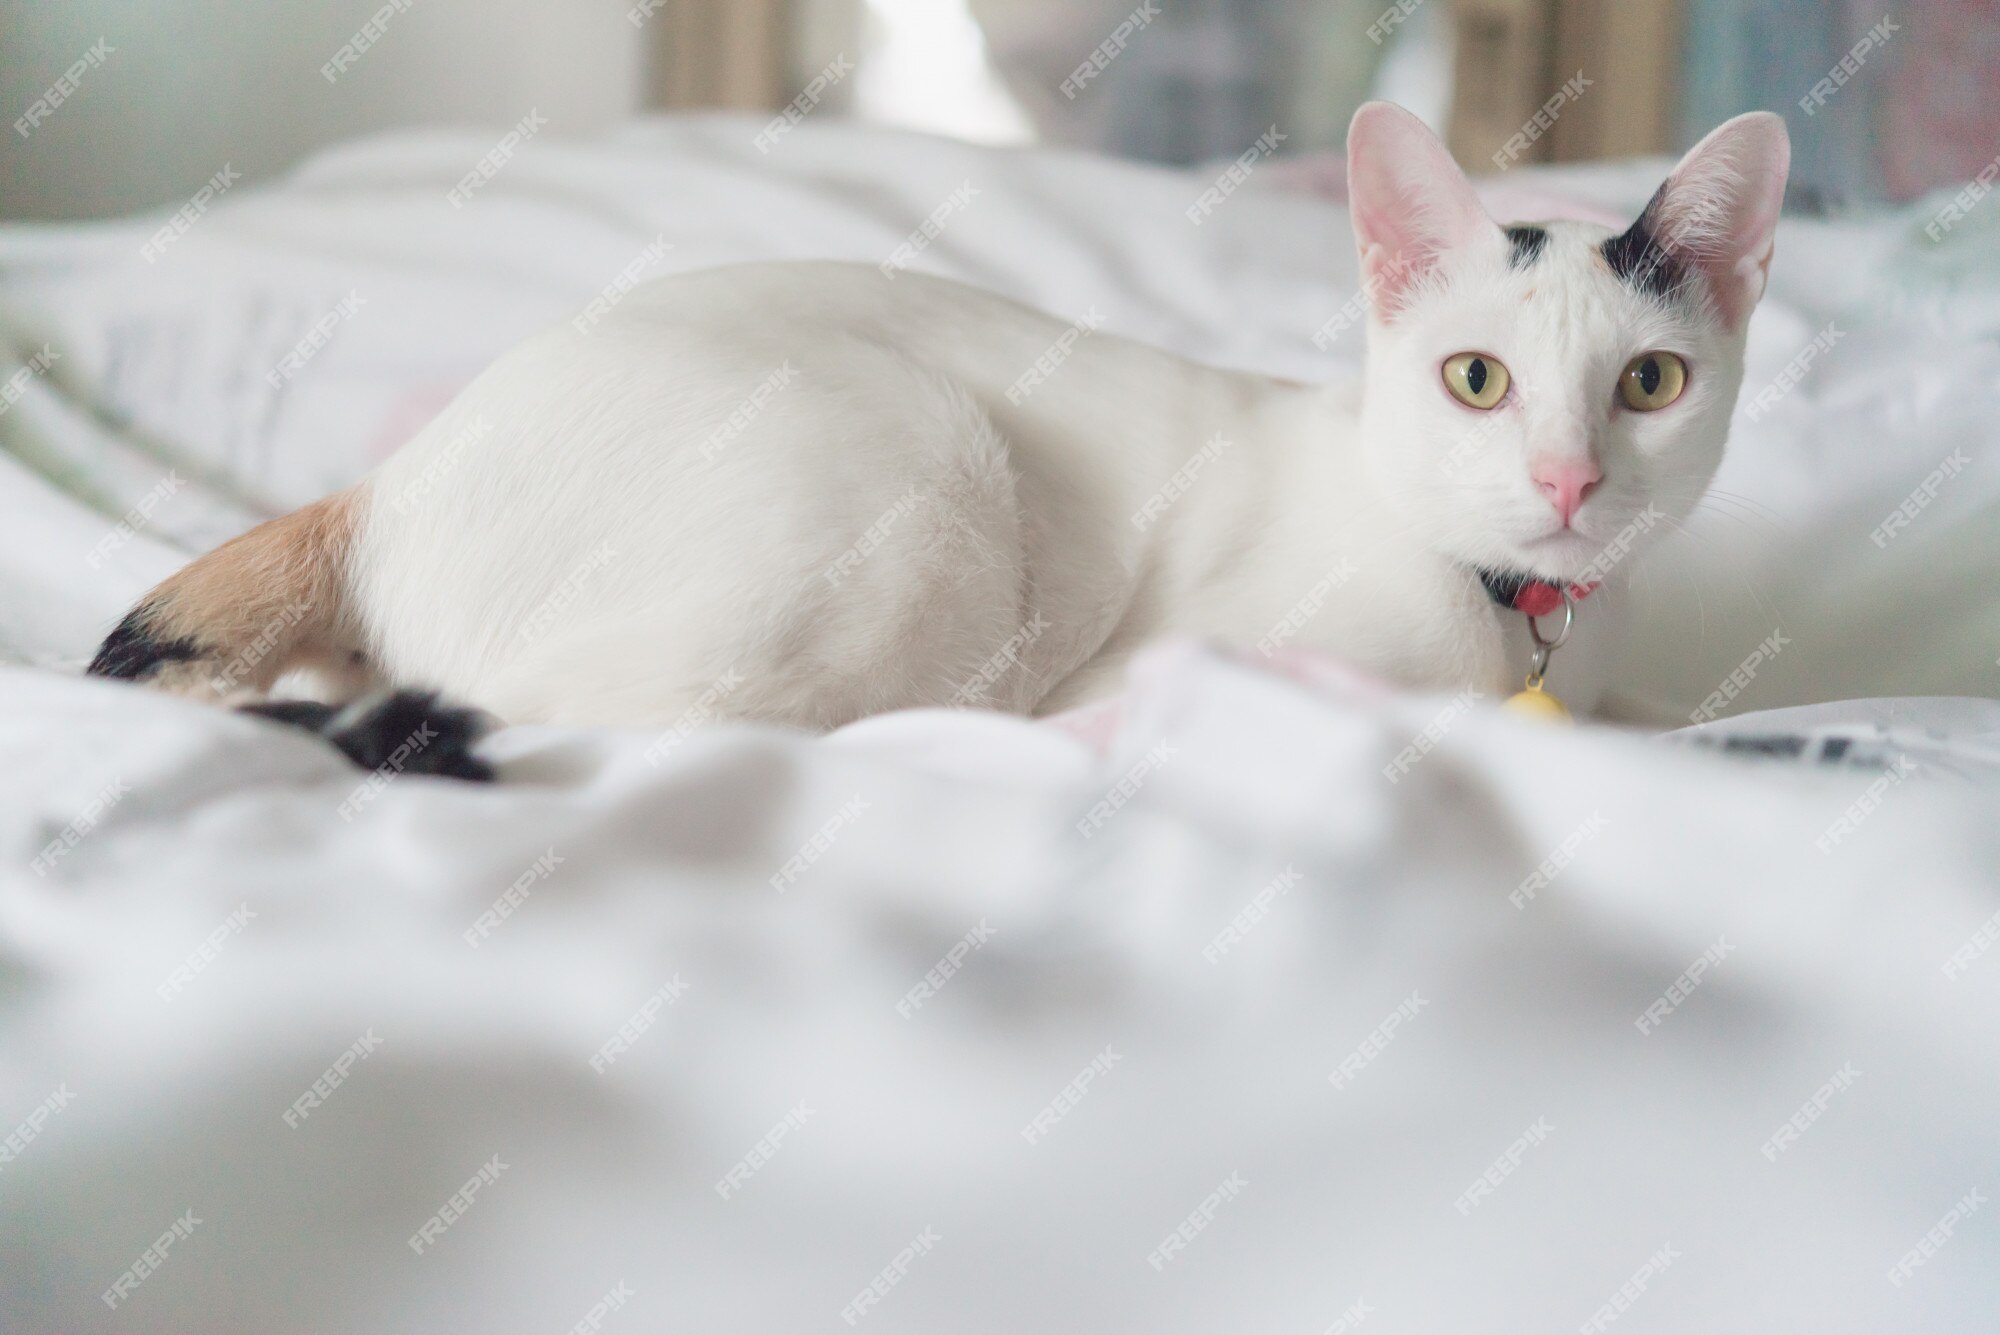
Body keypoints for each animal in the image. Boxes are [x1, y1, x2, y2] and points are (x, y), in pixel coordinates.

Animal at [86, 101, 1792, 771]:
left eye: (1649, 384)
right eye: (1477, 380)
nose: (1568, 479)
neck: (1514, 620)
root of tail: (389, 483)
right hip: (922, 490)